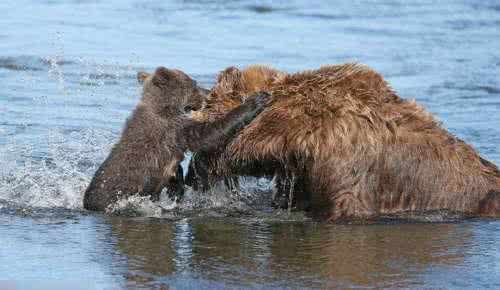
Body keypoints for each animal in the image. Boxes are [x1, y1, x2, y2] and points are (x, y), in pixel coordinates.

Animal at [82, 66, 270, 211]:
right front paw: (257, 100)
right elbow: (208, 135)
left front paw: (177, 184)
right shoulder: (175, 130)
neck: (165, 108)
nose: (208, 92)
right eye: (194, 84)